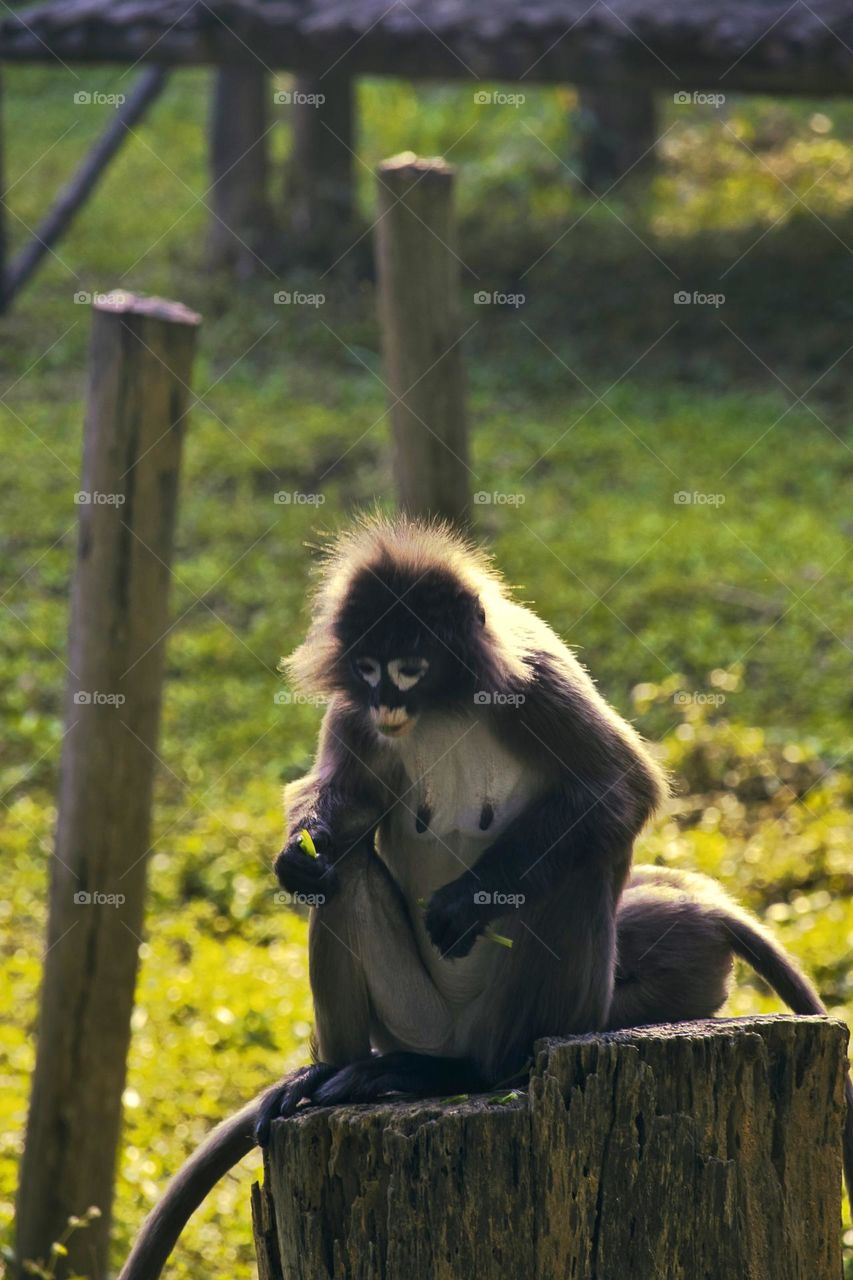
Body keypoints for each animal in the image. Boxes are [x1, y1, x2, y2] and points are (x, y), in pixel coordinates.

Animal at [116, 514, 853, 1280]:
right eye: (369, 668)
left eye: (409, 665)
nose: (386, 702)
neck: (443, 706)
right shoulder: (356, 717)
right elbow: (344, 810)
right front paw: (299, 856)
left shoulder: (538, 678)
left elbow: (624, 788)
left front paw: (466, 903)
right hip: (411, 1017)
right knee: (346, 877)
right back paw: (336, 1073)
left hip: (557, 1007)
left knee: (579, 868)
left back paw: (473, 1069)